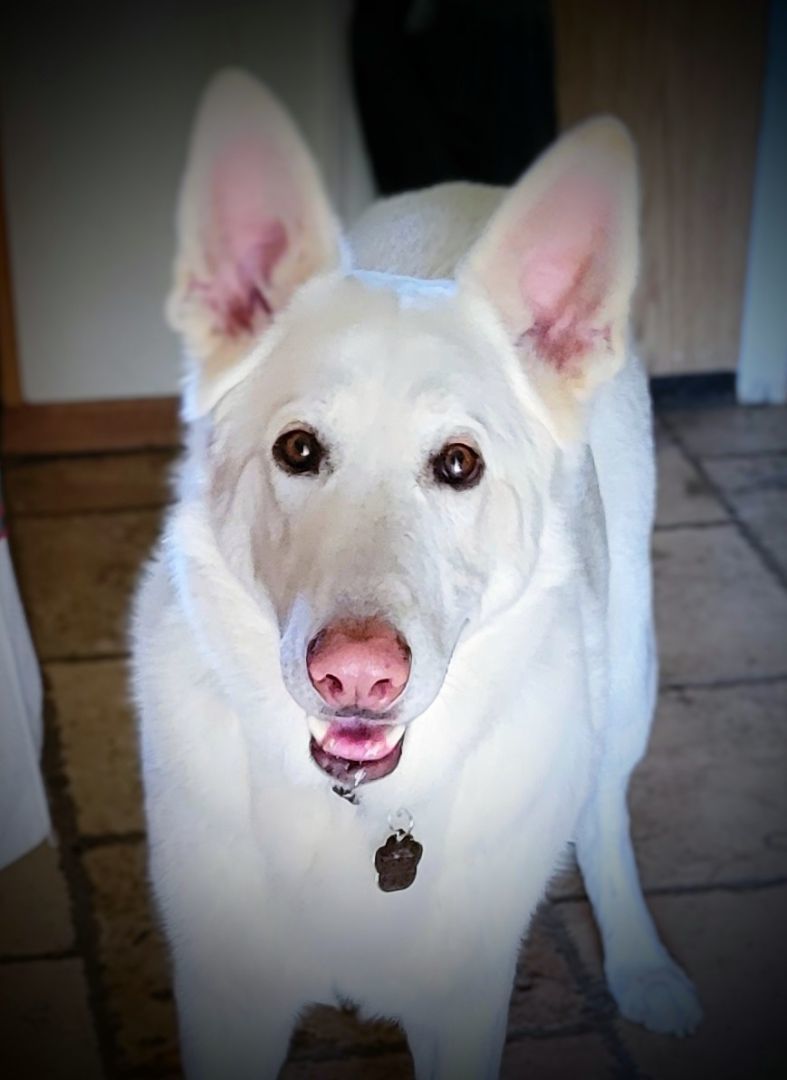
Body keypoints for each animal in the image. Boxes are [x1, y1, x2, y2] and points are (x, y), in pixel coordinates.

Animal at [130, 71, 699, 1075]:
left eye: (459, 465)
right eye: (298, 449)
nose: (356, 675)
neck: (360, 813)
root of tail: (471, 183)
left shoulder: (465, 1008)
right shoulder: (224, 999)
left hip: (628, 670)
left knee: (604, 814)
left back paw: (640, 963)